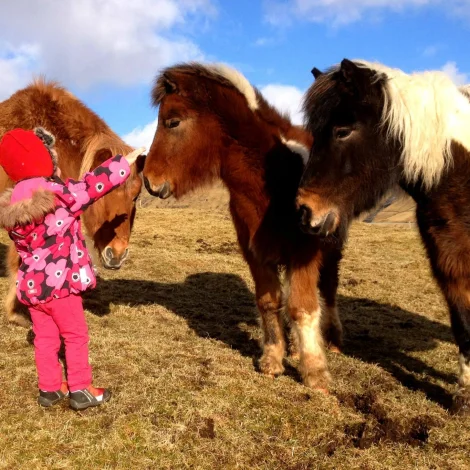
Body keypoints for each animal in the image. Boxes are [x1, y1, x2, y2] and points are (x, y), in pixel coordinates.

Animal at [143, 63, 346, 392]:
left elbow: (302, 307)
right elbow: (269, 302)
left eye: (172, 122)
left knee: (328, 288)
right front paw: (273, 359)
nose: (149, 181)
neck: (274, 181)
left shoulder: (303, 253)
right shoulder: (256, 253)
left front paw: (315, 373)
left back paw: (333, 341)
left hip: (331, 250)